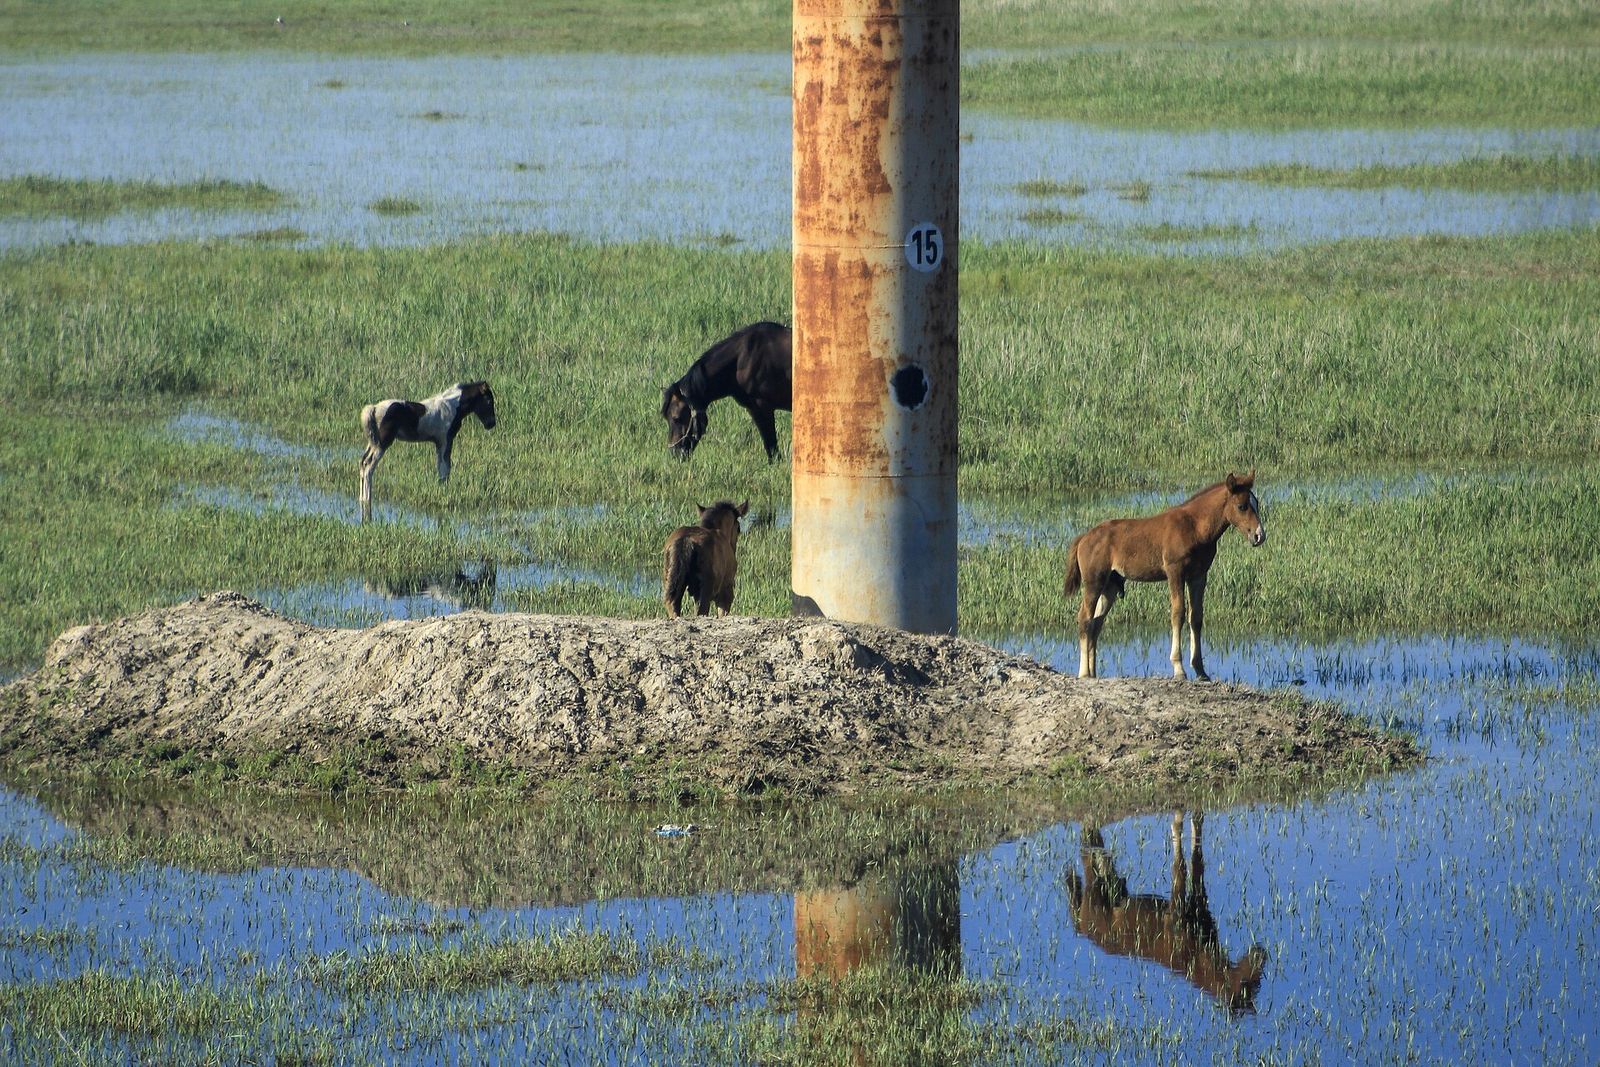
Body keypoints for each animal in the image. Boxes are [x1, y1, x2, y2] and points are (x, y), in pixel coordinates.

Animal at [358, 381, 496, 509]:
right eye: (489, 400)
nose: (491, 424)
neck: (452, 407)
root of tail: (374, 408)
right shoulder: (445, 441)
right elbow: (445, 468)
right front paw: (445, 495)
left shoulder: (438, 443)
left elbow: (441, 467)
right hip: (382, 443)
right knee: (369, 465)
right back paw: (368, 499)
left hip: (373, 442)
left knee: (363, 462)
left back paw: (362, 498)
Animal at [1063, 471, 1265, 681]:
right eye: (1242, 506)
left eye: (1256, 503)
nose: (1259, 536)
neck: (1194, 527)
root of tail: (1083, 538)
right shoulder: (1175, 571)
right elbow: (1178, 614)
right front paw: (1179, 668)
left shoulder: (1198, 576)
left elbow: (1196, 617)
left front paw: (1201, 671)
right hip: (1094, 582)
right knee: (1084, 618)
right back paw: (1084, 673)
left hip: (1109, 586)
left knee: (1096, 623)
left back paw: (1093, 673)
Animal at [1065, 813, 1267, 1015]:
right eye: (1247, 985)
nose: (1261, 954)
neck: (1198, 958)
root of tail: (1082, 928)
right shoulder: (1176, 912)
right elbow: (1180, 866)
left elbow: (1197, 858)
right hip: (1095, 892)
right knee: (1087, 854)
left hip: (1113, 887)